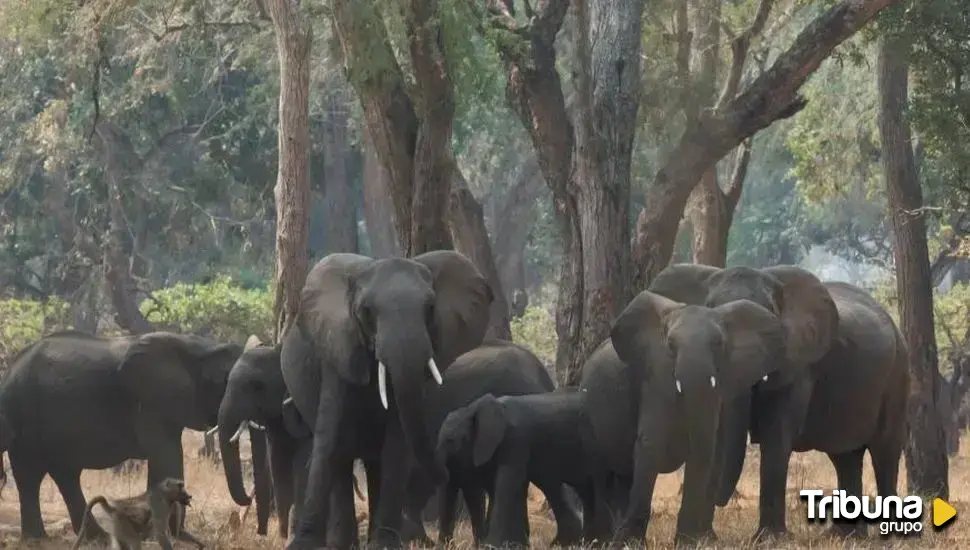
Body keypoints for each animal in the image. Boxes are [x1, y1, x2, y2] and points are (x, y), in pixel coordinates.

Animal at [0, 330, 246, 540]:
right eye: (223, 383)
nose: (249, 499)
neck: (203, 347)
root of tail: (11, 369)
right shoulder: (150, 401)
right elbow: (167, 456)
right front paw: (175, 535)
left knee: (63, 474)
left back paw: (94, 537)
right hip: (23, 412)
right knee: (31, 473)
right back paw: (39, 538)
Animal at [278, 252, 492, 548]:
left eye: (430, 307)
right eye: (367, 310)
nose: (445, 474)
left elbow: (397, 443)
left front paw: (385, 544)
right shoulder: (338, 350)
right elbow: (329, 438)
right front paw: (304, 545)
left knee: (375, 463)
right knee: (342, 459)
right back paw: (344, 543)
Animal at [436, 390, 608, 548]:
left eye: (451, 440)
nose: (447, 545)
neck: (473, 408)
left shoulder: (516, 441)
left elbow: (505, 487)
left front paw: (492, 546)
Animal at [652, 266, 908, 540]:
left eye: (767, 324)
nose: (719, 506)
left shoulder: (797, 364)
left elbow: (776, 437)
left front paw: (769, 539)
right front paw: (707, 539)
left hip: (898, 372)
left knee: (884, 451)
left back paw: (888, 538)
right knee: (845, 456)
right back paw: (844, 537)